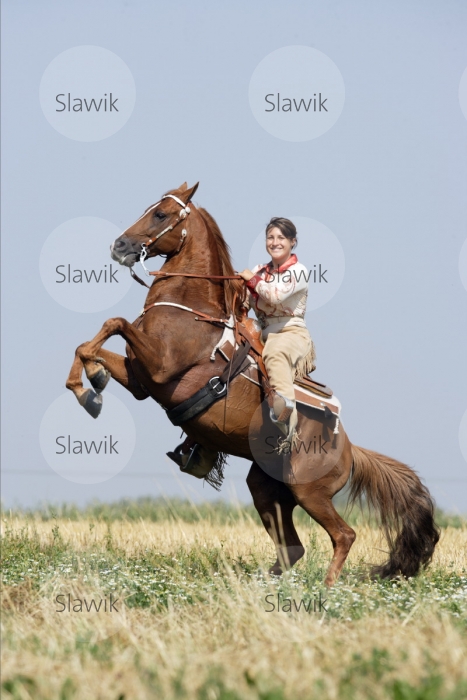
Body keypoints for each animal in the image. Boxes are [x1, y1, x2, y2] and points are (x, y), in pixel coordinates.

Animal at [66, 180, 442, 584]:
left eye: (161, 214)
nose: (119, 246)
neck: (191, 311)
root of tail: (350, 449)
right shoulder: (140, 381)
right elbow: (91, 344)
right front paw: (91, 387)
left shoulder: (161, 367)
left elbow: (115, 322)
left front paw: (90, 387)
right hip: (267, 490)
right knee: (293, 548)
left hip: (310, 493)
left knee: (344, 535)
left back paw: (327, 588)